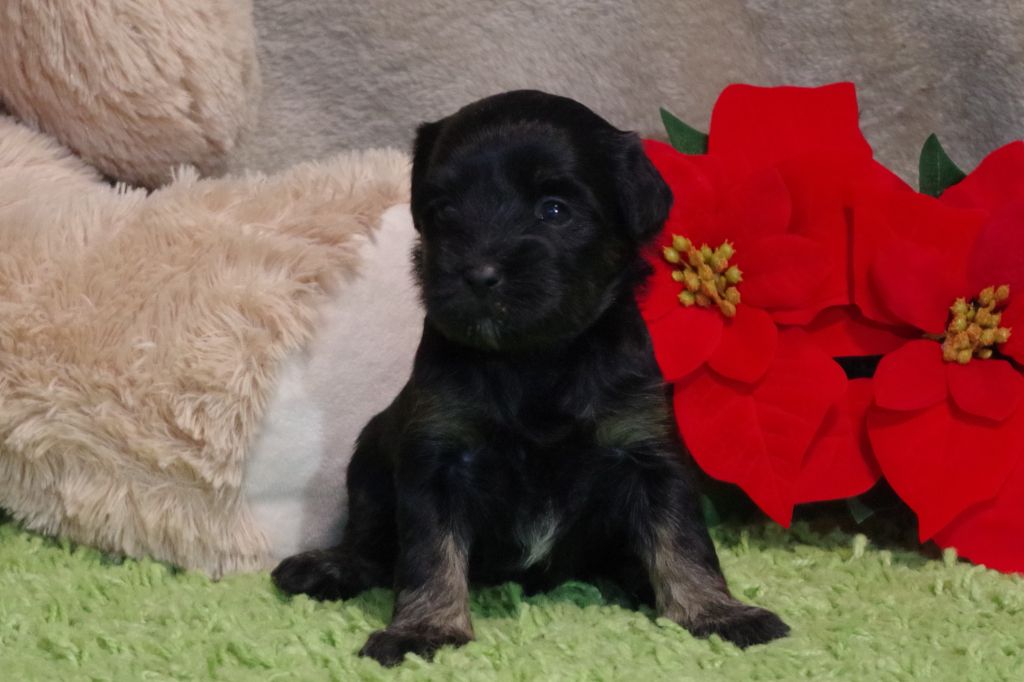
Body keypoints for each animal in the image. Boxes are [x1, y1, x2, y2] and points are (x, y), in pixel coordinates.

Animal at [271, 90, 789, 666]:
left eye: (555, 210)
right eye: (444, 210)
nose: (479, 274)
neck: (534, 360)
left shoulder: (647, 450)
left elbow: (684, 540)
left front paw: (716, 612)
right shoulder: (437, 454)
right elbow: (428, 551)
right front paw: (425, 628)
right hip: (368, 458)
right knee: (369, 542)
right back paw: (328, 565)